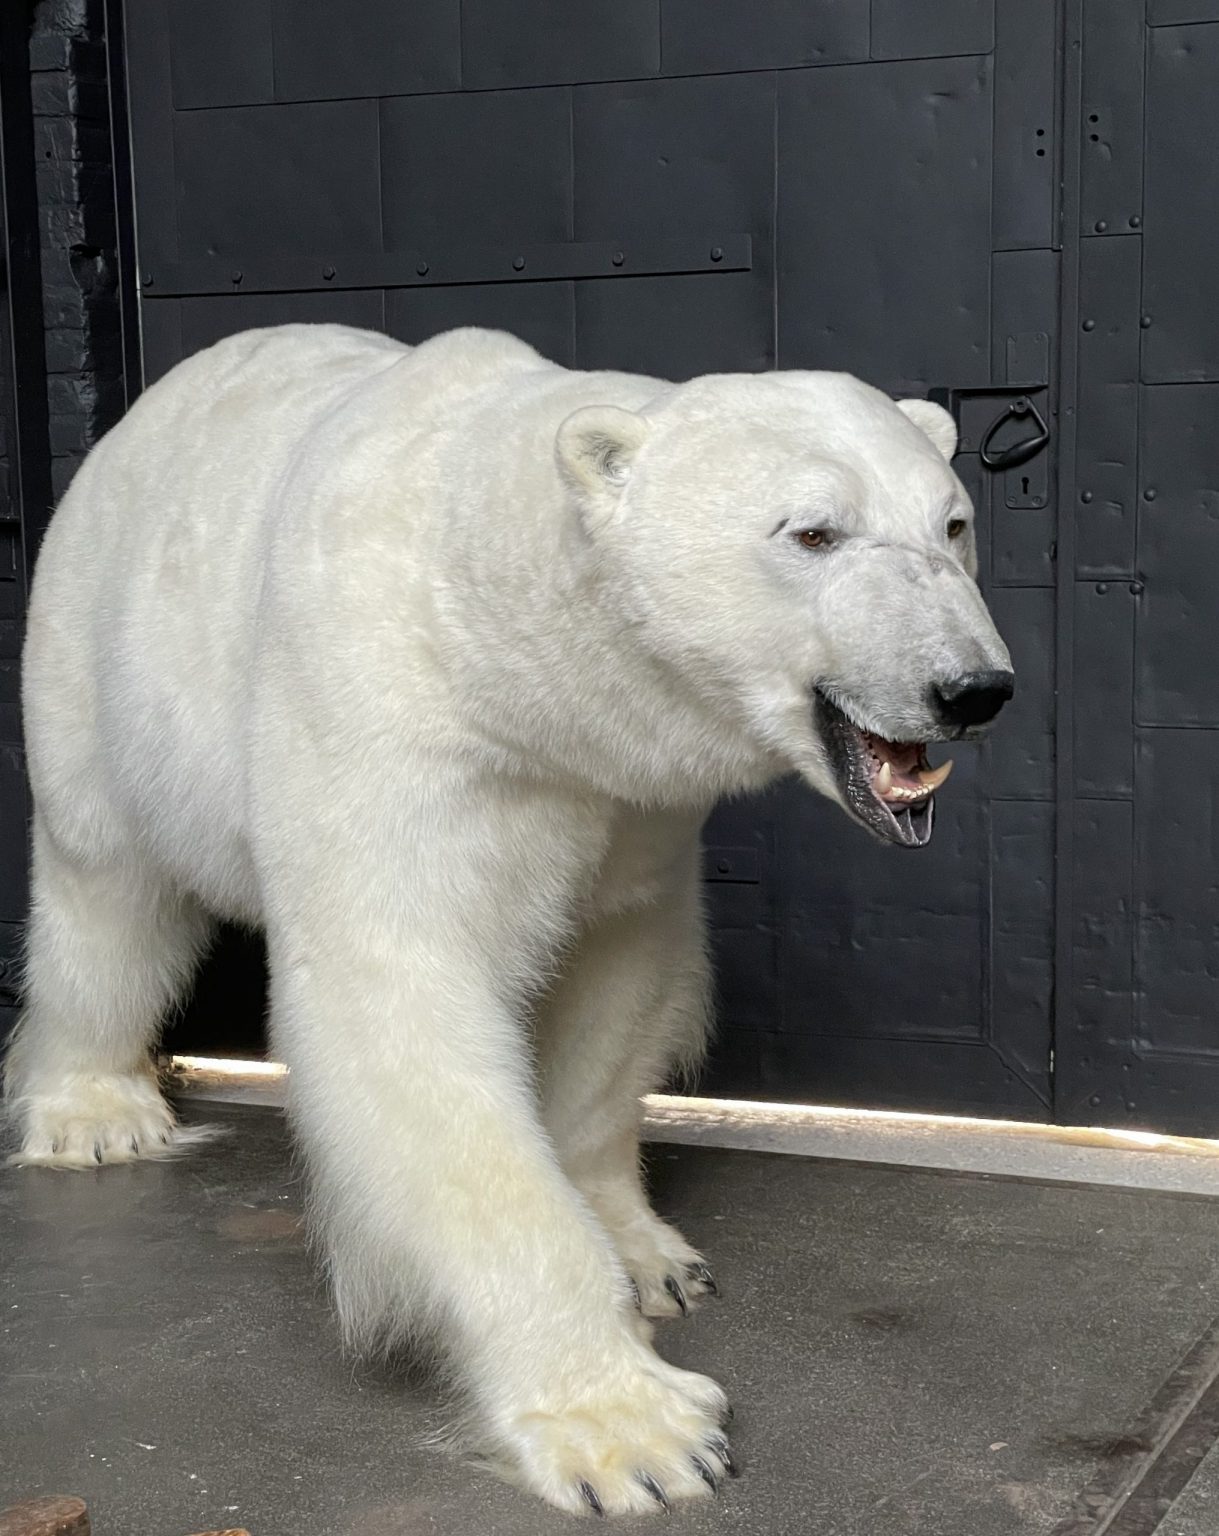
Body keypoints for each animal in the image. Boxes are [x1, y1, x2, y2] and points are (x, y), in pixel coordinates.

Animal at [2, 324, 1007, 1511]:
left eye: (952, 522)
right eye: (812, 530)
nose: (971, 688)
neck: (496, 637)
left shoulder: (624, 802)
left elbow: (620, 974)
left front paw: (650, 1257)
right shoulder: (389, 723)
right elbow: (406, 1009)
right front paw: (634, 1429)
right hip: (96, 659)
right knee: (104, 888)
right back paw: (94, 1111)